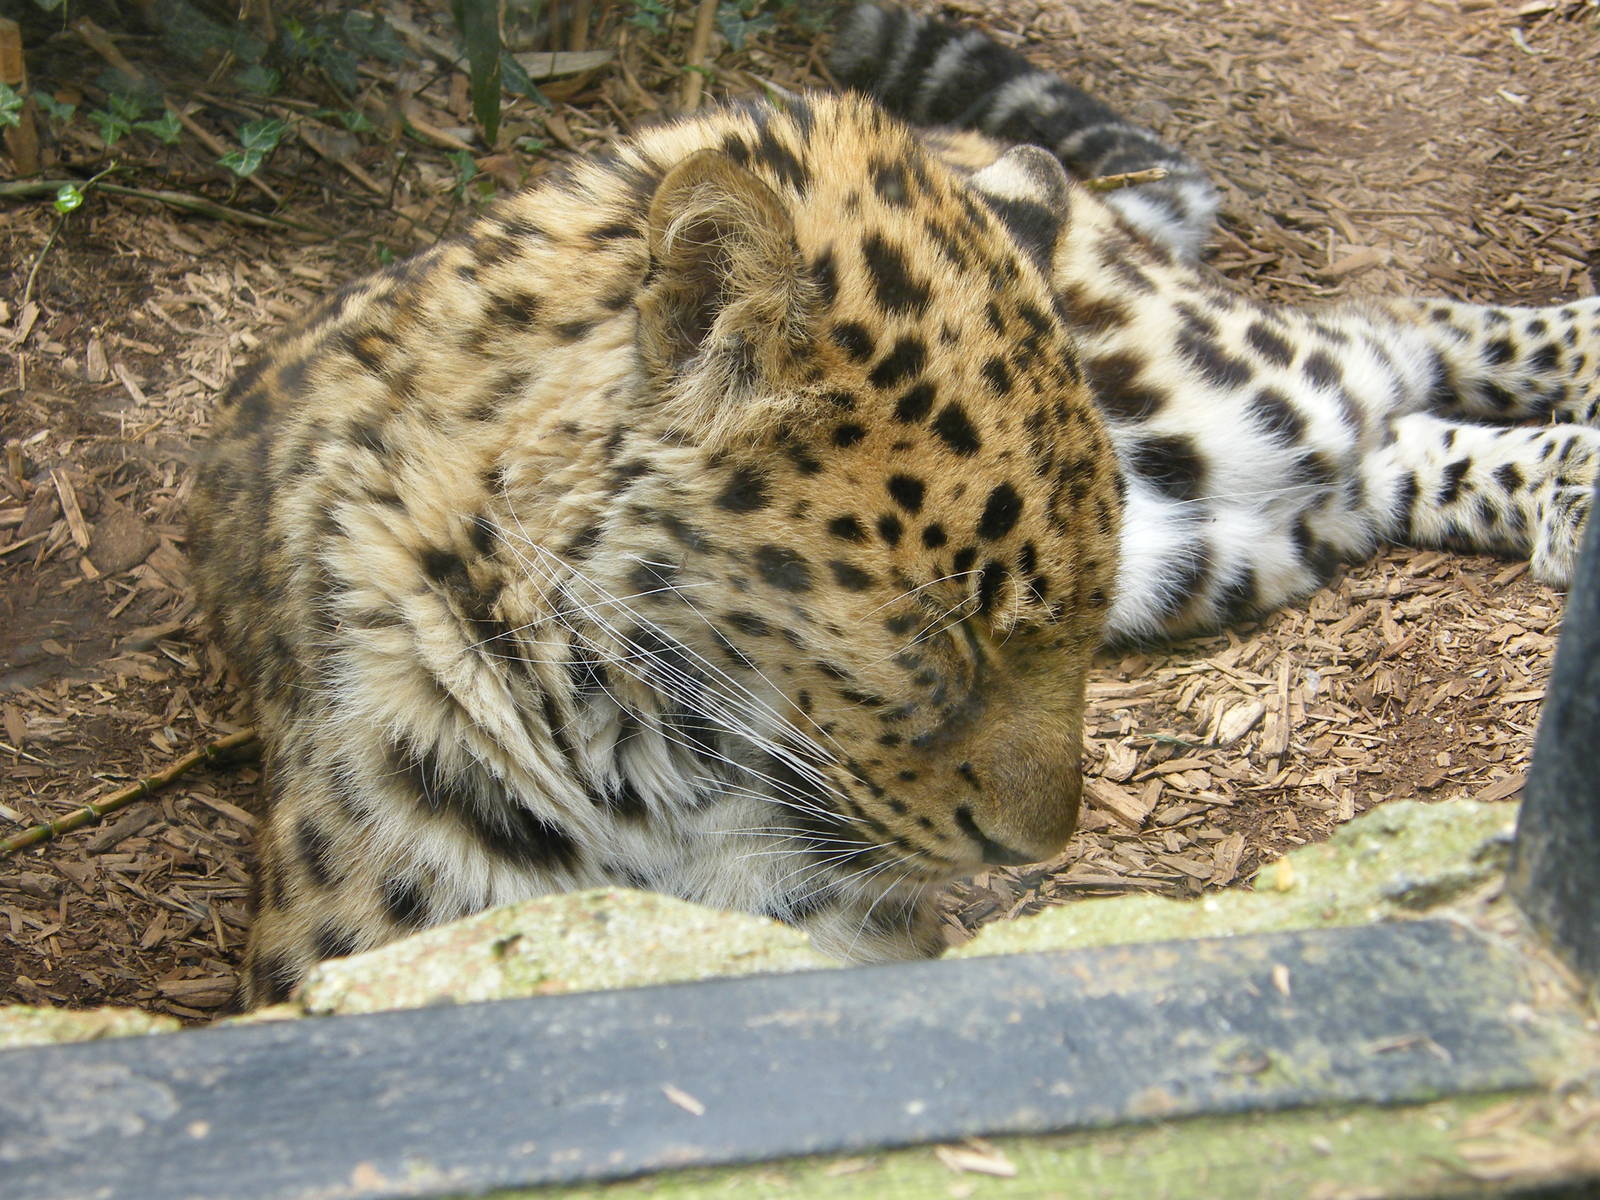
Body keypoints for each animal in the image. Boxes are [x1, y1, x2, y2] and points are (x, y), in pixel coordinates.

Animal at [192, 13, 1600, 1008]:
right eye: (946, 630)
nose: (1032, 854)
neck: (639, 765)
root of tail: (976, 158)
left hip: (1216, 390)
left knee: (1388, 332)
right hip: (1224, 523)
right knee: (1384, 437)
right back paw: (1565, 493)